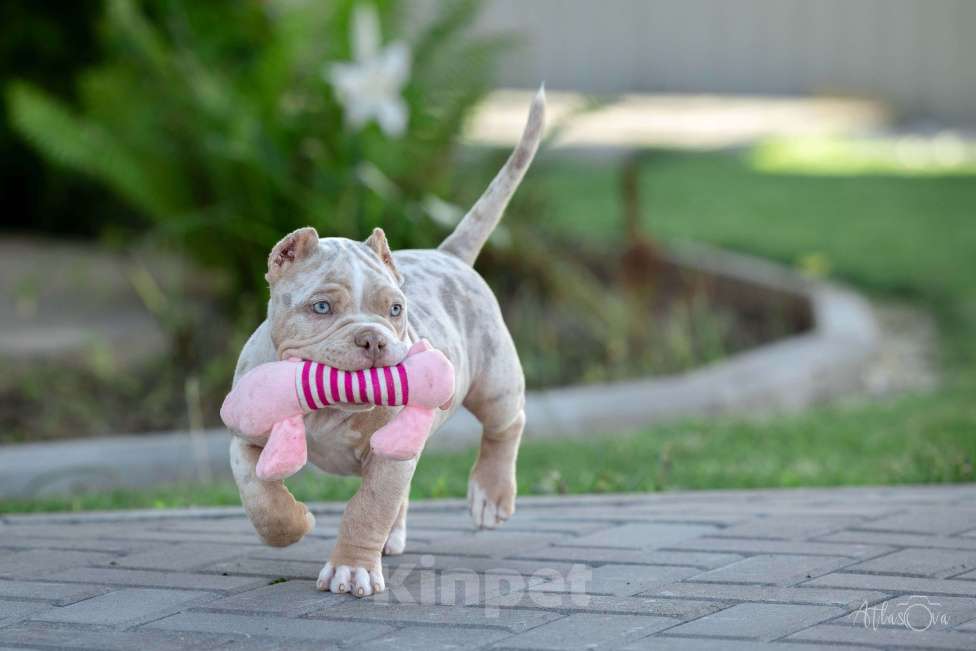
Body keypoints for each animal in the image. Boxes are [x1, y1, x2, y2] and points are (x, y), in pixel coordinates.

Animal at [231, 89, 548, 600]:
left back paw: (490, 495)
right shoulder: (245, 438)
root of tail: (447, 255)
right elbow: (258, 495)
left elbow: (369, 506)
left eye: (395, 310)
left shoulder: (386, 455)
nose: (374, 340)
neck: (325, 411)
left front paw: (351, 569)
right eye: (322, 307)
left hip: (494, 378)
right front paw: (293, 524)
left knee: (506, 423)